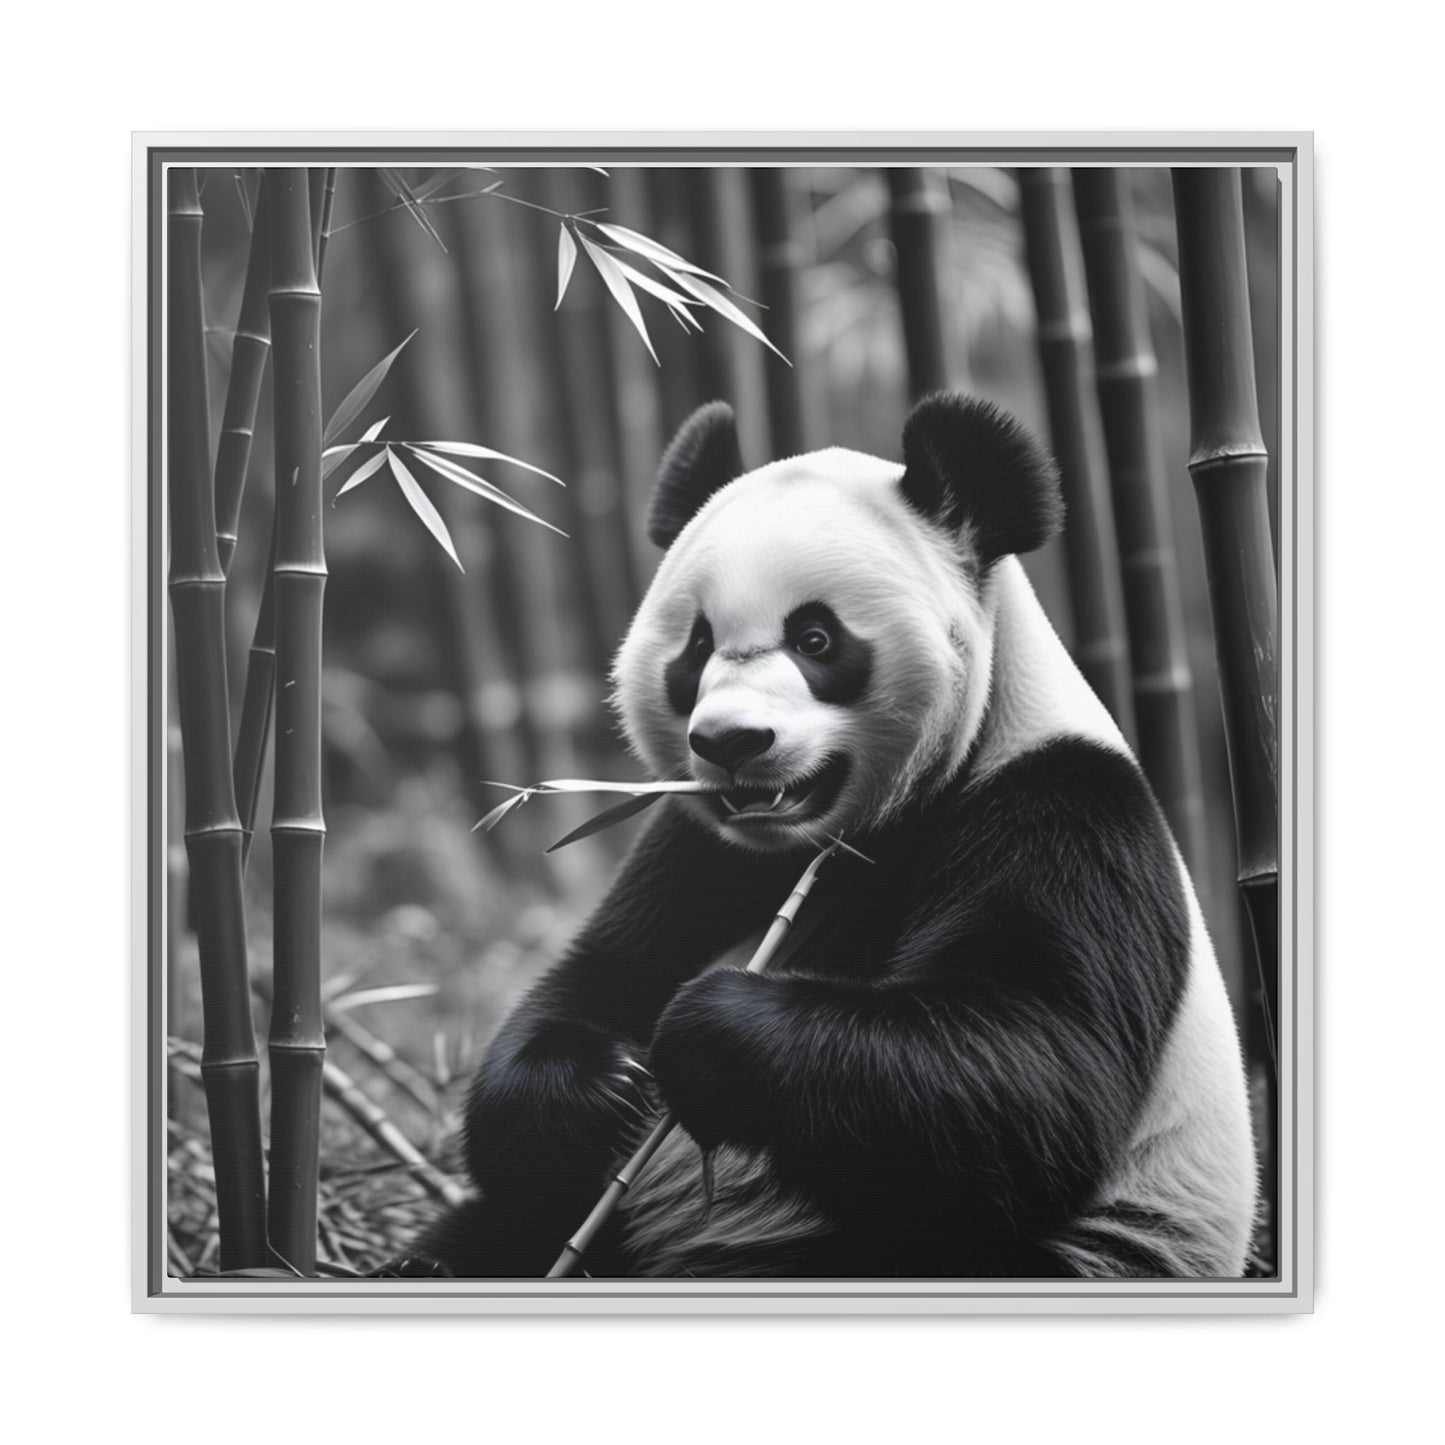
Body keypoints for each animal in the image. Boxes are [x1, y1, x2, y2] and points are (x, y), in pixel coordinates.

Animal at [403, 392, 1258, 1280]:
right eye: (697, 646)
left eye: (814, 638)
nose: (731, 741)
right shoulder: (697, 845)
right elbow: (590, 984)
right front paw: (602, 1087)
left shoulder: (1063, 809)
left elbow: (1032, 1070)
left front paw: (707, 1029)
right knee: (490, 1232)